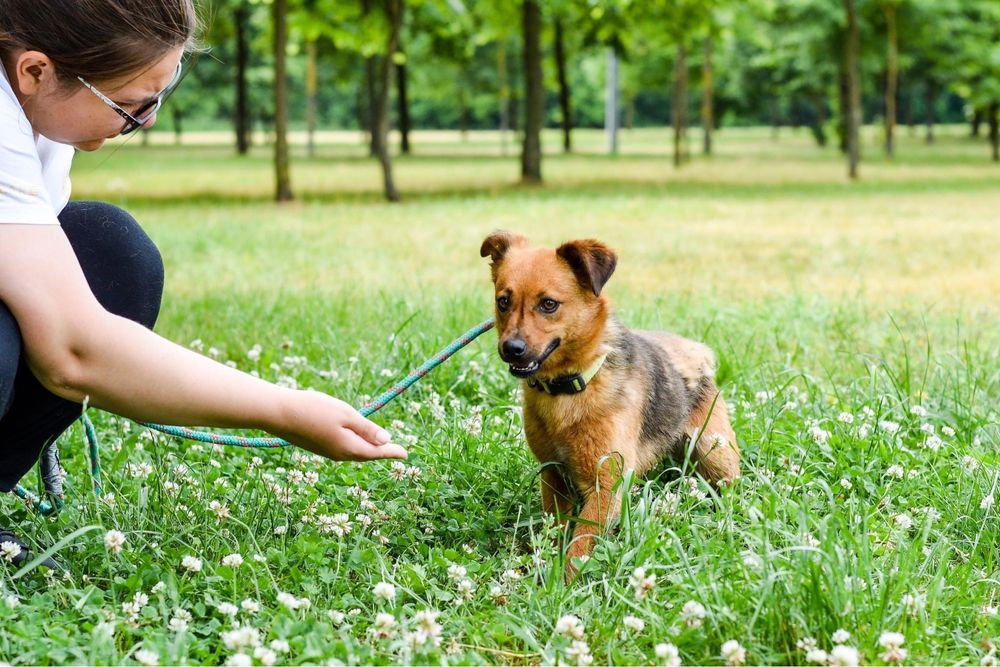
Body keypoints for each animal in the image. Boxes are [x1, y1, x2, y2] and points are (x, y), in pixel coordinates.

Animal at [480, 232, 740, 572]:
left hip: (714, 452)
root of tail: (697, 351)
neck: (568, 388)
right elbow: (557, 532)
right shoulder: (553, 475)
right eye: (503, 301)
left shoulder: (604, 485)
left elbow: (578, 549)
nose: (511, 348)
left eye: (548, 304)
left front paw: (563, 584)